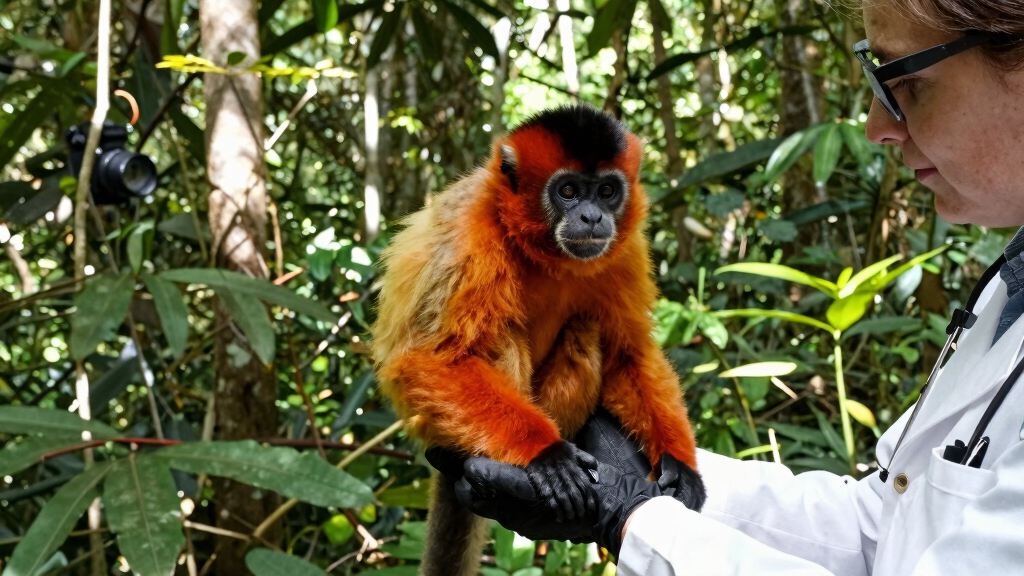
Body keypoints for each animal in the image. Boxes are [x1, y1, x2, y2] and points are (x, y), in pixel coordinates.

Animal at [371, 104, 701, 576]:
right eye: (568, 191)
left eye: (606, 191)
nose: (592, 217)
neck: (544, 251)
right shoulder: (470, 231)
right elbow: (429, 359)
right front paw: (546, 455)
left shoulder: (625, 249)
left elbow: (630, 352)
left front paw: (680, 465)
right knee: (500, 332)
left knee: (585, 327)